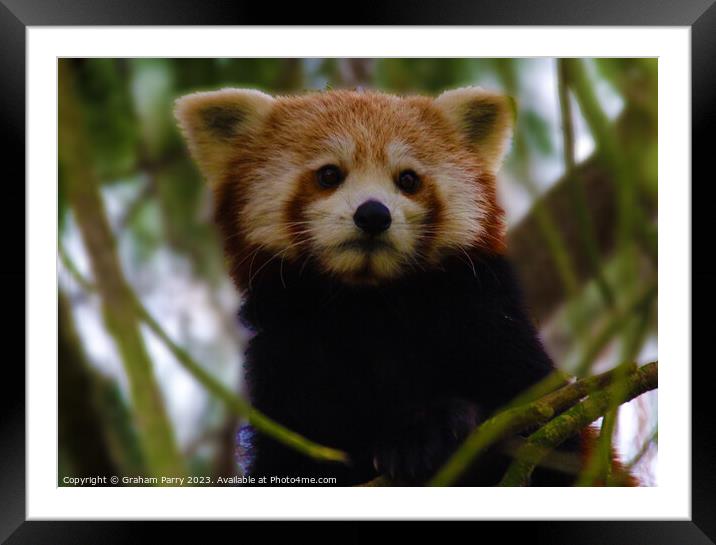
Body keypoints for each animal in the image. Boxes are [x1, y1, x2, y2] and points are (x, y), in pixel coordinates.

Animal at [175, 87, 632, 486]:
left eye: (408, 180)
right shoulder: (286, 362)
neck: (370, 304)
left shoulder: (490, 325)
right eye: (329, 175)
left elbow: (550, 447)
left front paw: (428, 432)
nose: (373, 214)